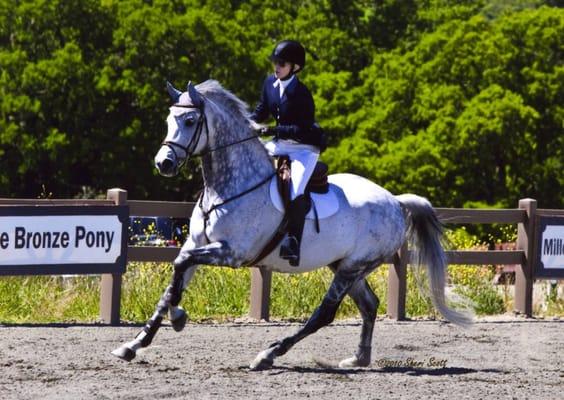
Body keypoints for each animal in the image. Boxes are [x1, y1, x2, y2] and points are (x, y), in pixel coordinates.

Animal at [111, 79, 472, 370]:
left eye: (189, 120)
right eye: (168, 119)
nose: (164, 163)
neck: (226, 187)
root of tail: (395, 201)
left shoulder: (232, 253)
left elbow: (179, 267)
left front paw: (178, 318)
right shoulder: (197, 245)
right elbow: (173, 279)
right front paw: (134, 344)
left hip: (352, 266)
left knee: (325, 313)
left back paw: (268, 355)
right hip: (346, 265)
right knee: (369, 305)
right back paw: (358, 358)